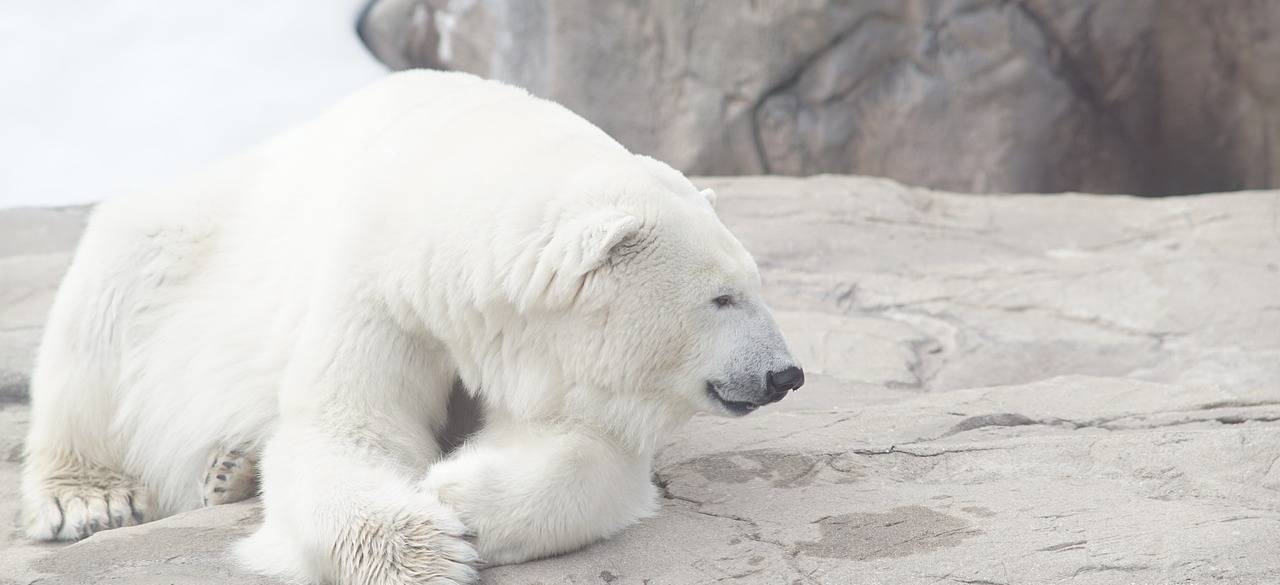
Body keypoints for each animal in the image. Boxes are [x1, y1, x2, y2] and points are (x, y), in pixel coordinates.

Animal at [20, 70, 804, 584]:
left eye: (756, 284)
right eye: (722, 297)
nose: (785, 373)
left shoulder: (535, 347)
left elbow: (587, 446)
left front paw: (458, 498)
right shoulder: (378, 287)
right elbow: (346, 428)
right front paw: (424, 547)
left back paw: (228, 470)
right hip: (177, 243)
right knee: (101, 314)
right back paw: (89, 497)